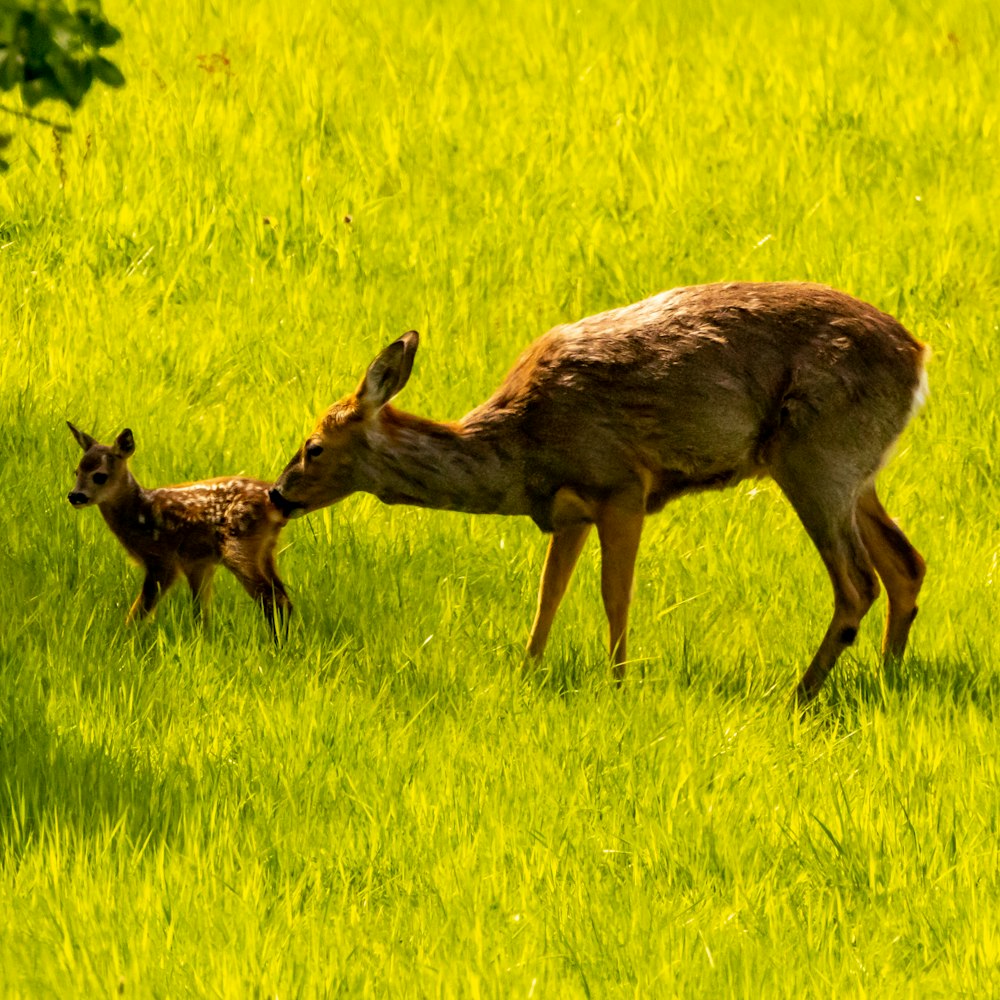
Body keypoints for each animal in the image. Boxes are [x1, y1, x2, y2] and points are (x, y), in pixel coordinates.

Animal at [67, 422, 290, 632]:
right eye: (76, 471)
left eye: (99, 476)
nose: (74, 496)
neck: (138, 513)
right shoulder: (197, 563)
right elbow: (201, 615)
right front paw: (204, 641)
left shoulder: (162, 560)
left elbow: (137, 614)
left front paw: (123, 638)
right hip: (265, 550)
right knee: (285, 598)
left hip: (238, 546)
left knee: (273, 600)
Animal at [270, 282, 924, 704]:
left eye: (313, 447)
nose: (277, 493)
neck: (520, 452)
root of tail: (920, 359)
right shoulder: (569, 513)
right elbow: (548, 596)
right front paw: (526, 674)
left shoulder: (621, 485)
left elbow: (615, 596)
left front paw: (618, 684)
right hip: (854, 470)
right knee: (906, 564)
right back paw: (888, 679)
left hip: (816, 456)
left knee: (857, 581)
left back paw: (801, 694)